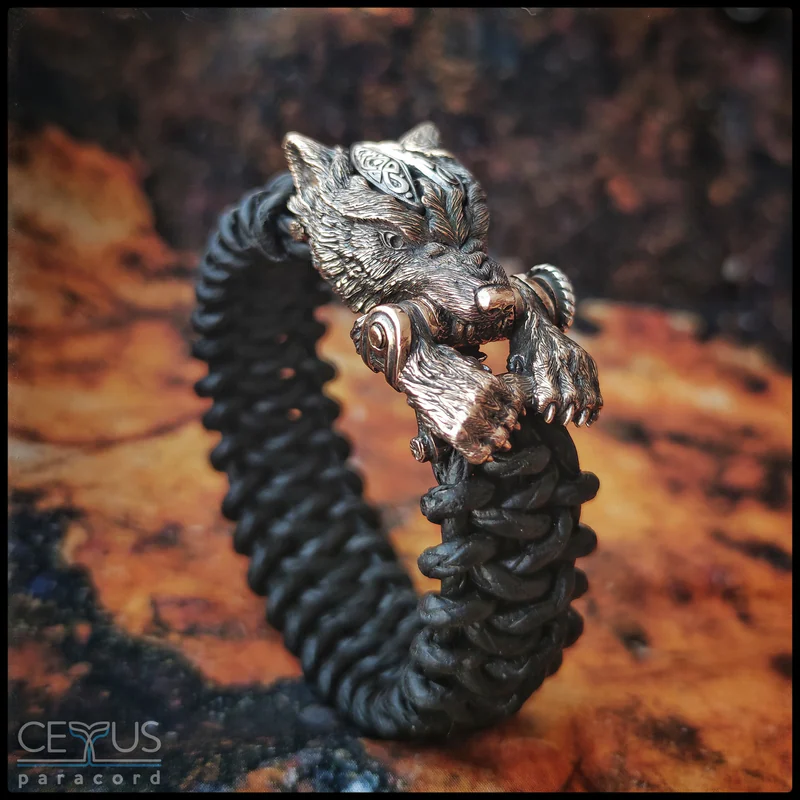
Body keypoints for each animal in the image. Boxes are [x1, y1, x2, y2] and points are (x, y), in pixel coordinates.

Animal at [283, 122, 602, 464]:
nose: (497, 301)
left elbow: (529, 298)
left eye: (479, 228)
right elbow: (392, 337)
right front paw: (469, 404)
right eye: (392, 240)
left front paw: (561, 367)